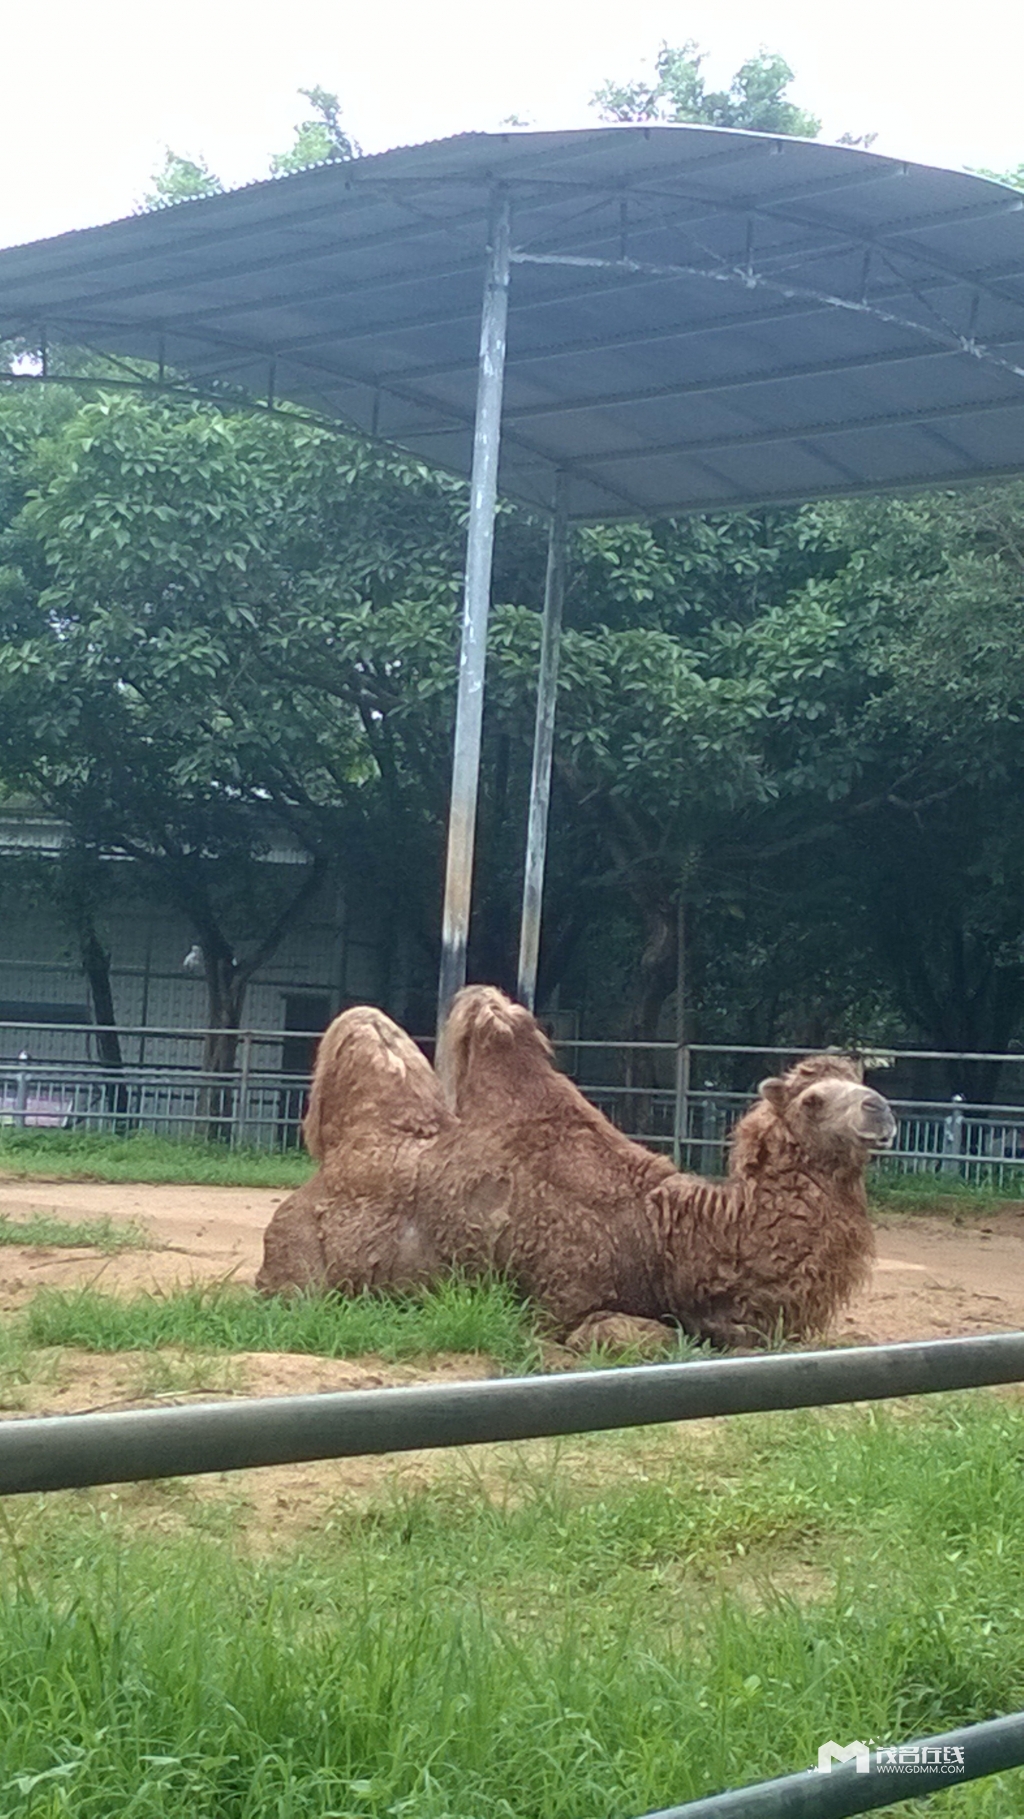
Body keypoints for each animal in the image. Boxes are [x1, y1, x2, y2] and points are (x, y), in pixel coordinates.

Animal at [258, 989, 898, 1346]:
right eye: (813, 1100)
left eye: (863, 1080)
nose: (881, 1110)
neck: (668, 1232)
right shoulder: (560, 1300)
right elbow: (635, 1337)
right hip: (296, 1264)